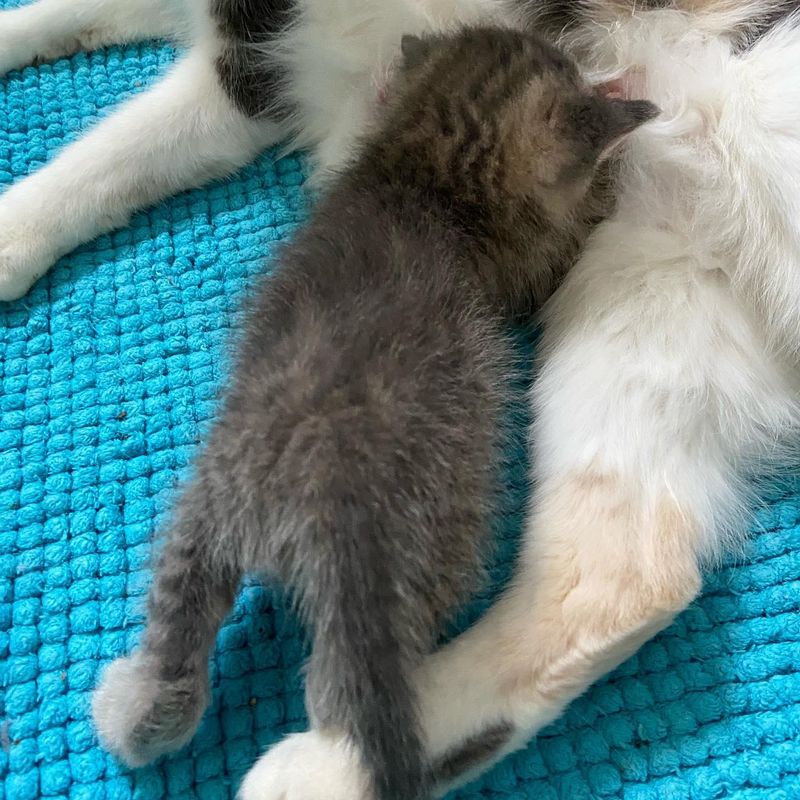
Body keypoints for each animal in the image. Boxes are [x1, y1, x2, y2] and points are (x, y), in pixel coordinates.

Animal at [94, 25, 656, 800]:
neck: (419, 179)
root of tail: (308, 494)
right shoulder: (529, 263)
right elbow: (572, 230)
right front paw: (621, 121)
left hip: (204, 511)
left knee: (178, 626)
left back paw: (134, 709)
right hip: (419, 562)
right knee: (341, 697)